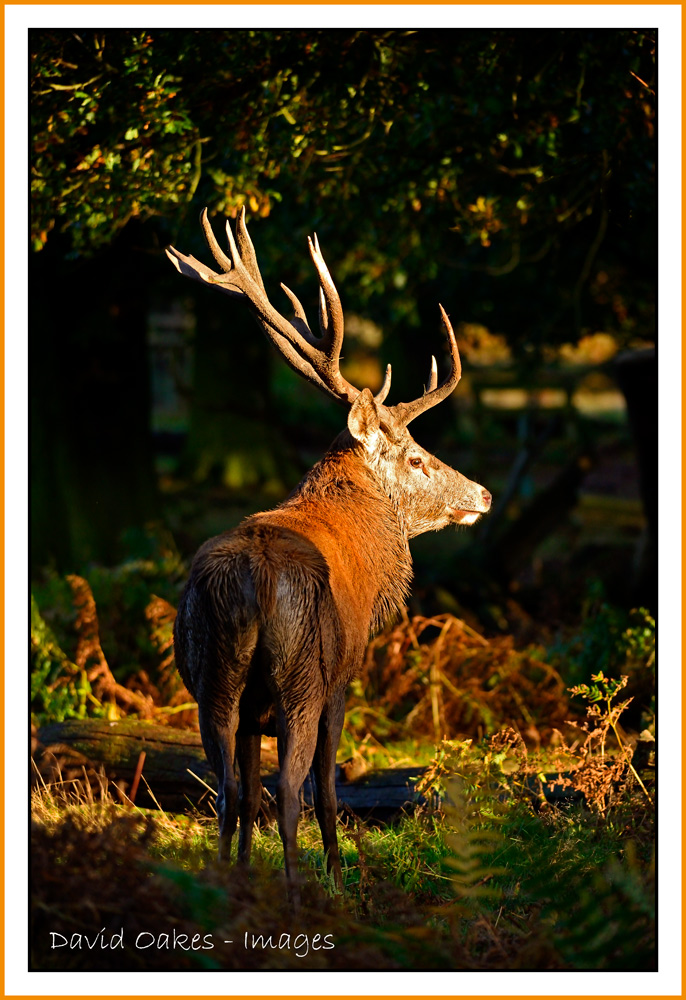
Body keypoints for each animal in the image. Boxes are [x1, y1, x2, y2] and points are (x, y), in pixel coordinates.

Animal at [165, 209, 491, 904]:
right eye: (416, 457)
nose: (482, 493)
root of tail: (255, 580)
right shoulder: (346, 673)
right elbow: (327, 787)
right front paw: (340, 878)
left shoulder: (248, 706)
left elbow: (246, 791)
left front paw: (246, 871)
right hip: (302, 676)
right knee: (292, 789)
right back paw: (302, 893)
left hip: (213, 676)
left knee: (229, 788)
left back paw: (227, 884)